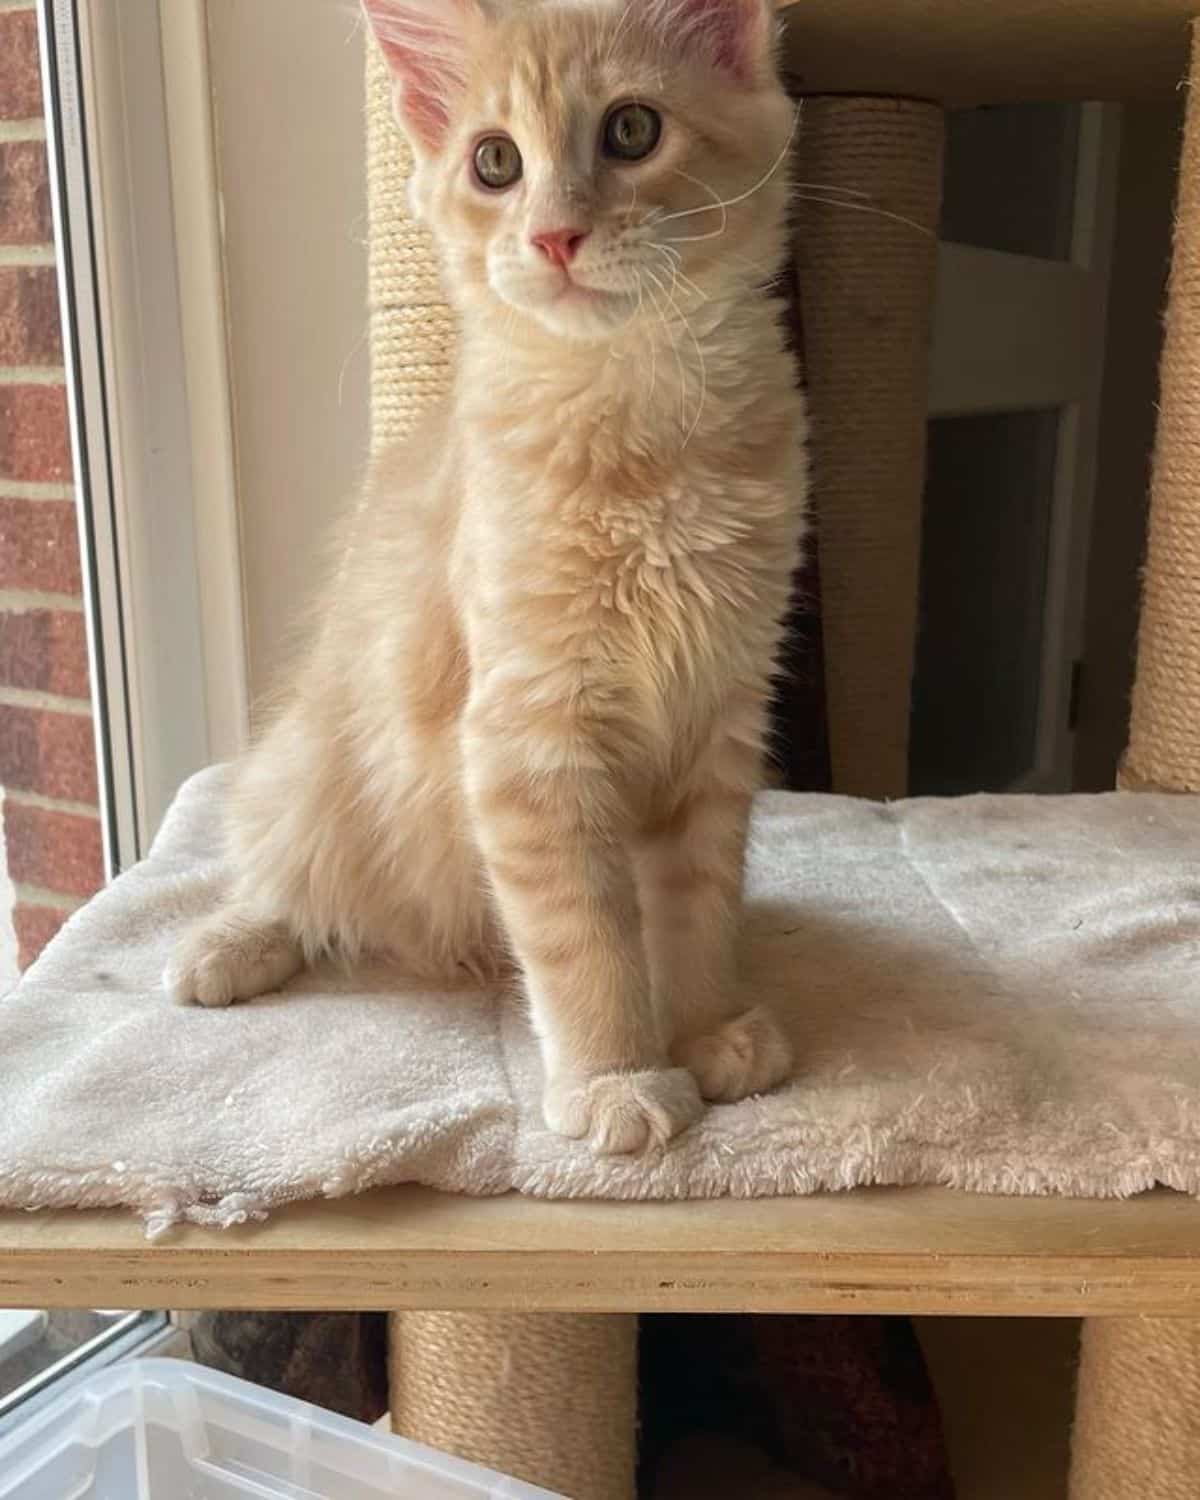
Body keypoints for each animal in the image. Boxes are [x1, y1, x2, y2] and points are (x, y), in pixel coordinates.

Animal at [166, 0, 804, 1152]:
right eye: (495, 162)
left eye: (633, 131)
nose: (554, 236)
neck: (642, 436)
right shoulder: (528, 735)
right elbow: (584, 936)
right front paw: (615, 1076)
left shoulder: (721, 712)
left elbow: (696, 902)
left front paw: (706, 1026)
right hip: (306, 770)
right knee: (281, 873)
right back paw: (230, 948)